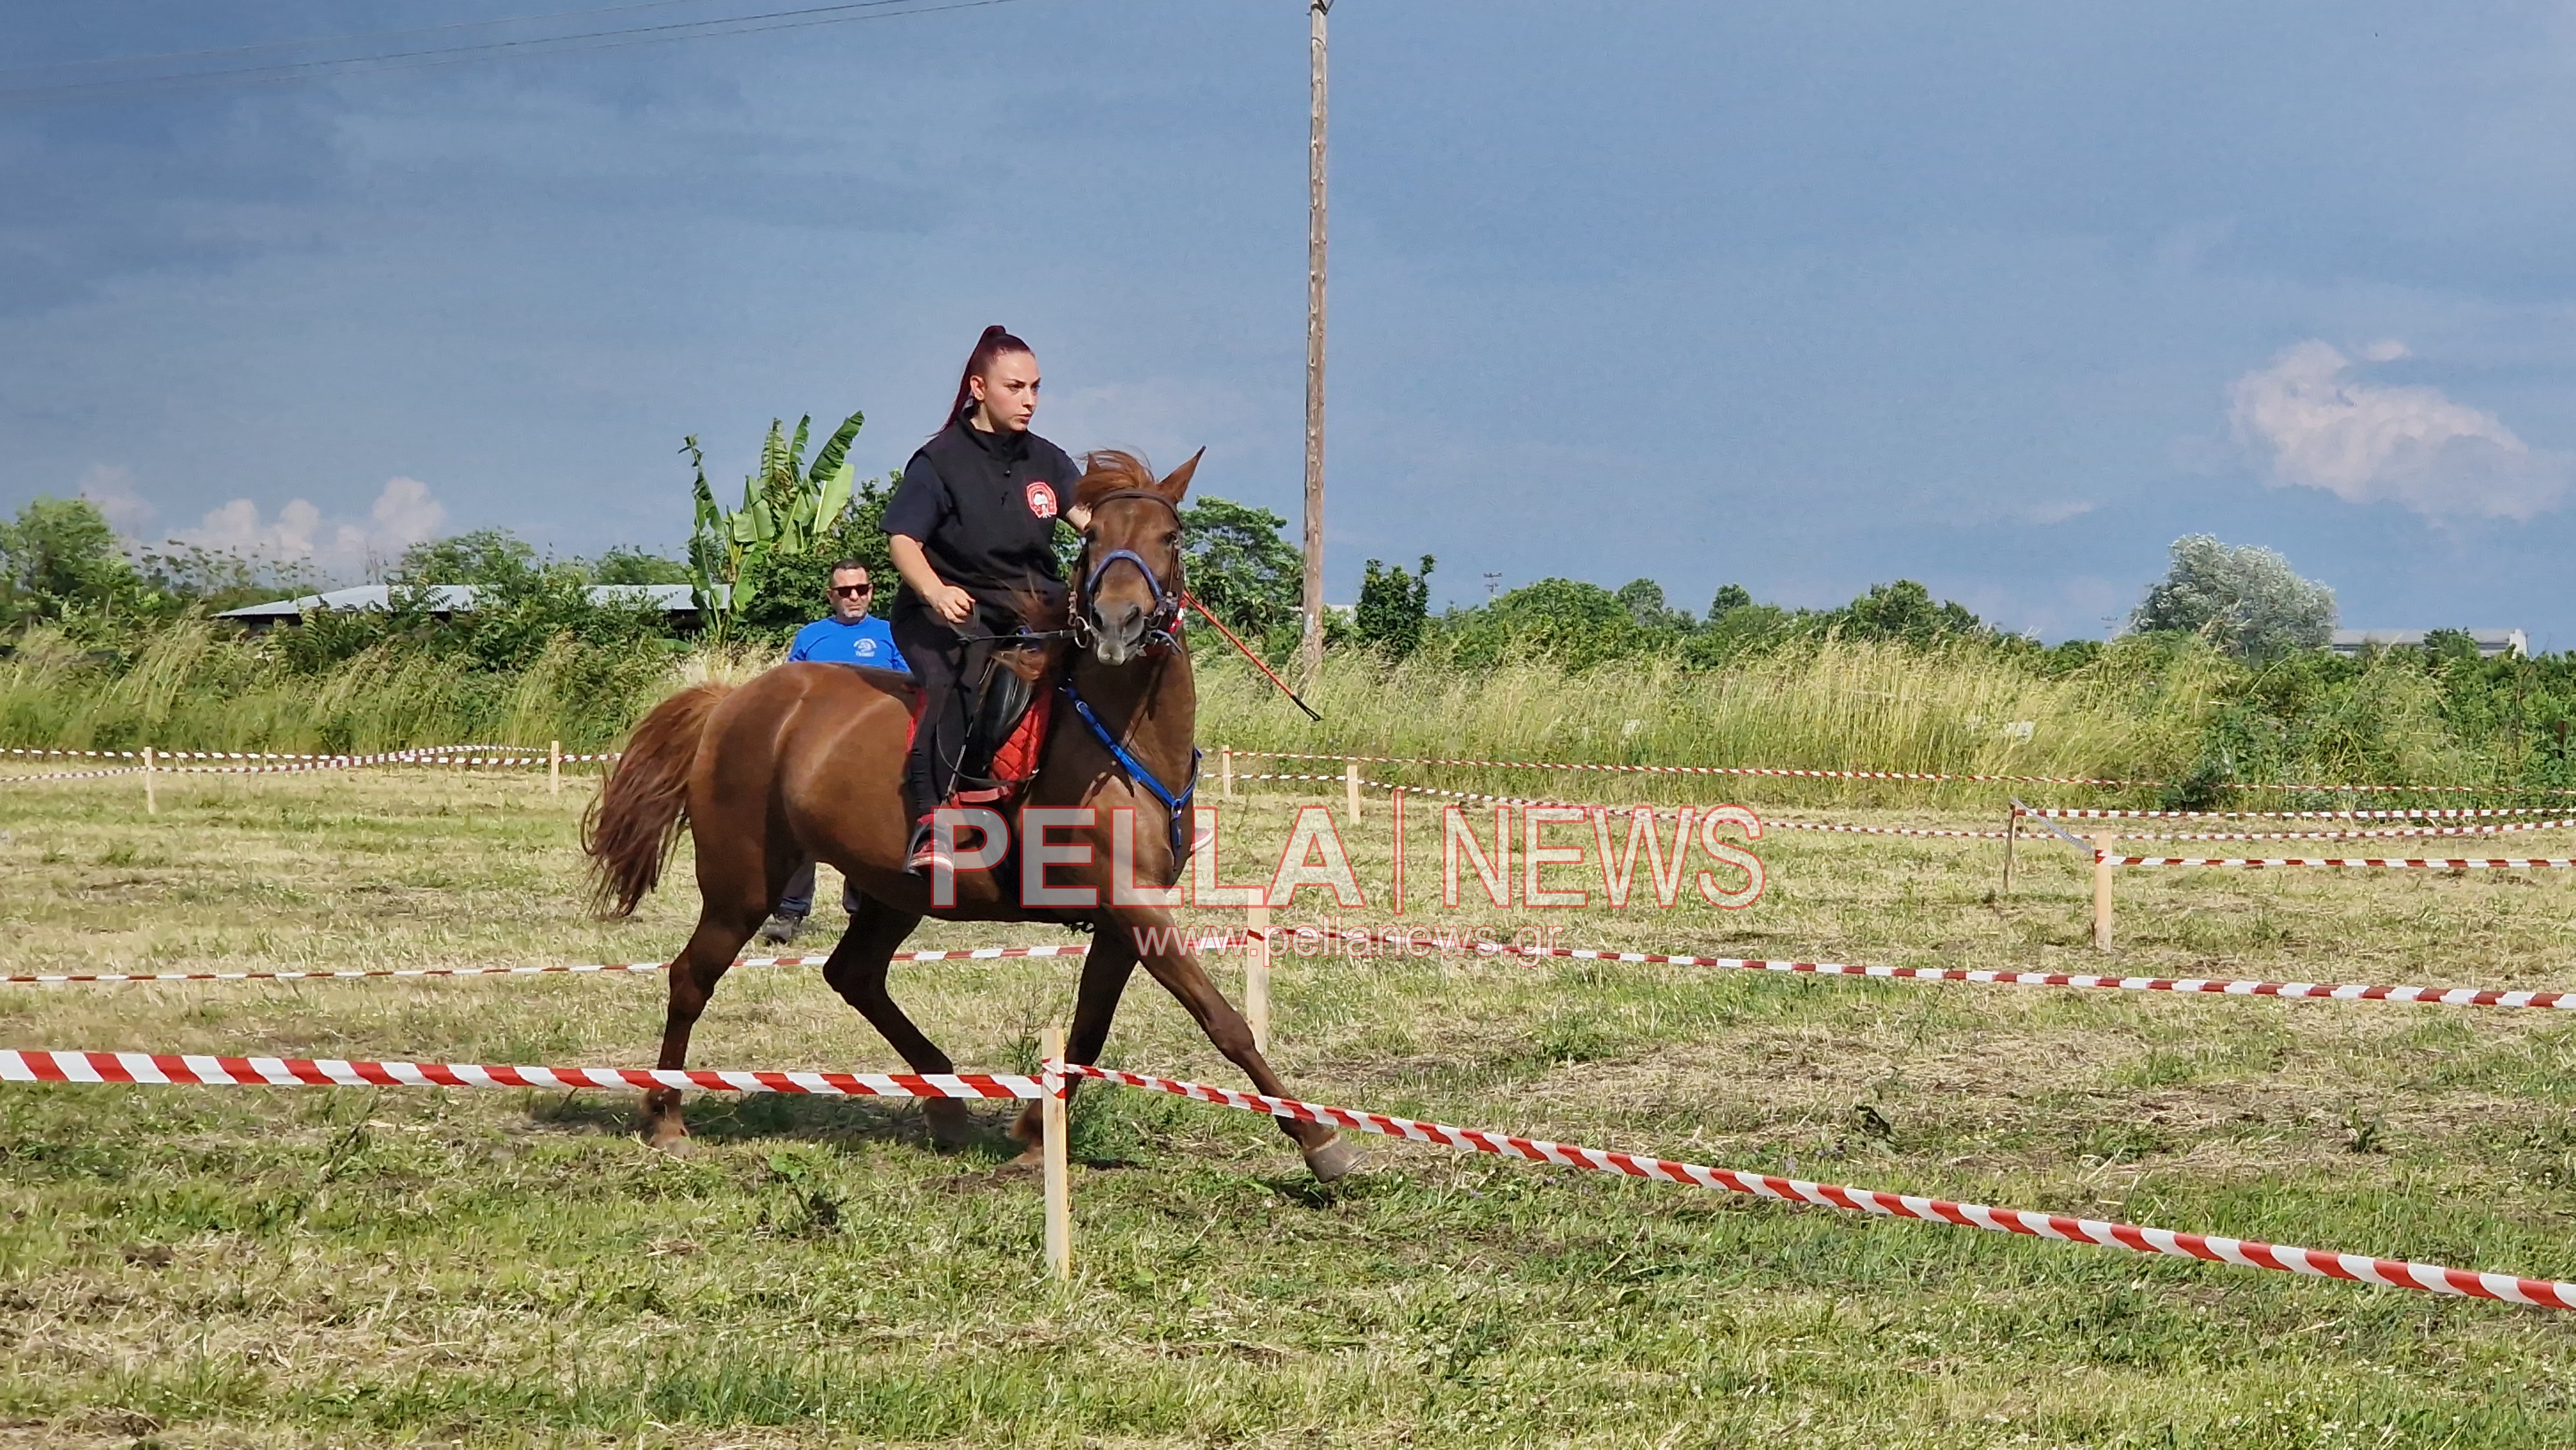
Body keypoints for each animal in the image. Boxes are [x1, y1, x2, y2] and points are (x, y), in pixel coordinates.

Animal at [577, 451, 1360, 1180]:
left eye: (1169, 536)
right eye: (1093, 538)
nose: (1117, 622)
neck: (1121, 736)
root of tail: (733, 702)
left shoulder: (1122, 919)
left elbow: (1087, 1032)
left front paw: (1036, 1135)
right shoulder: (1131, 903)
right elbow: (1222, 1020)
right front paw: (1318, 1139)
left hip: (893, 891)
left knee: (854, 975)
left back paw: (946, 1100)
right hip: (744, 884)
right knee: (692, 977)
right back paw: (667, 1115)